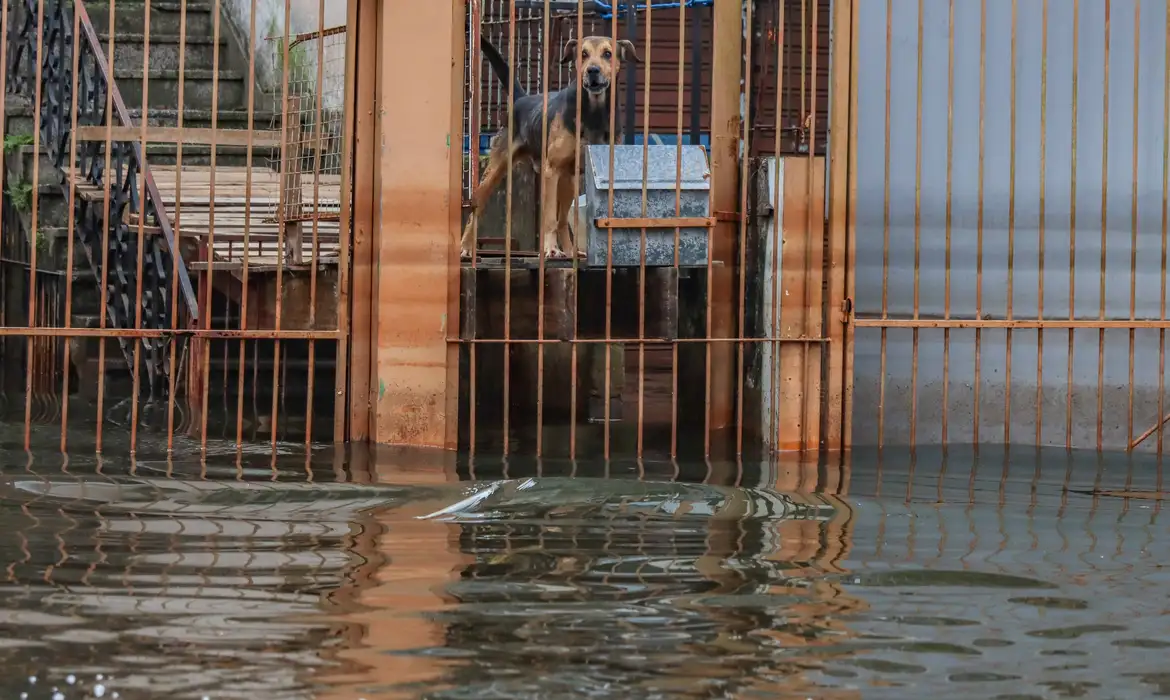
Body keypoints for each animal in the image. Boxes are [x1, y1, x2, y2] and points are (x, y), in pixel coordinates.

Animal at [458, 34, 641, 258]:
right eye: (583, 54)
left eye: (607, 53)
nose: (592, 70)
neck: (593, 112)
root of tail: (522, 99)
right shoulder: (551, 171)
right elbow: (549, 220)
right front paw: (551, 248)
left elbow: (562, 219)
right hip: (495, 171)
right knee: (477, 208)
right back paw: (466, 246)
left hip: (569, 181)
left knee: (563, 220)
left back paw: (571, 252)